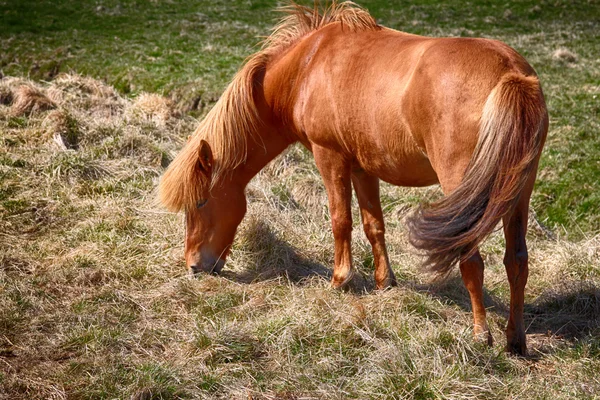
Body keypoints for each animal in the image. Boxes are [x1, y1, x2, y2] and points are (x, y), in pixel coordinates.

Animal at [159, 1, 548, 354]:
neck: (306, 66)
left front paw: (339, 280)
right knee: (516, 261)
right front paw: (384, 283)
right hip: (517, 193)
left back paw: (481, 334)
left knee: (471, 259)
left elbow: (340, 220)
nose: (195, 266)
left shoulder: (329, 157)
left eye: (200, 202)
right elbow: (373, 225)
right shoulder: (363, 167)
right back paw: (515, 340)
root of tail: (510, 73)